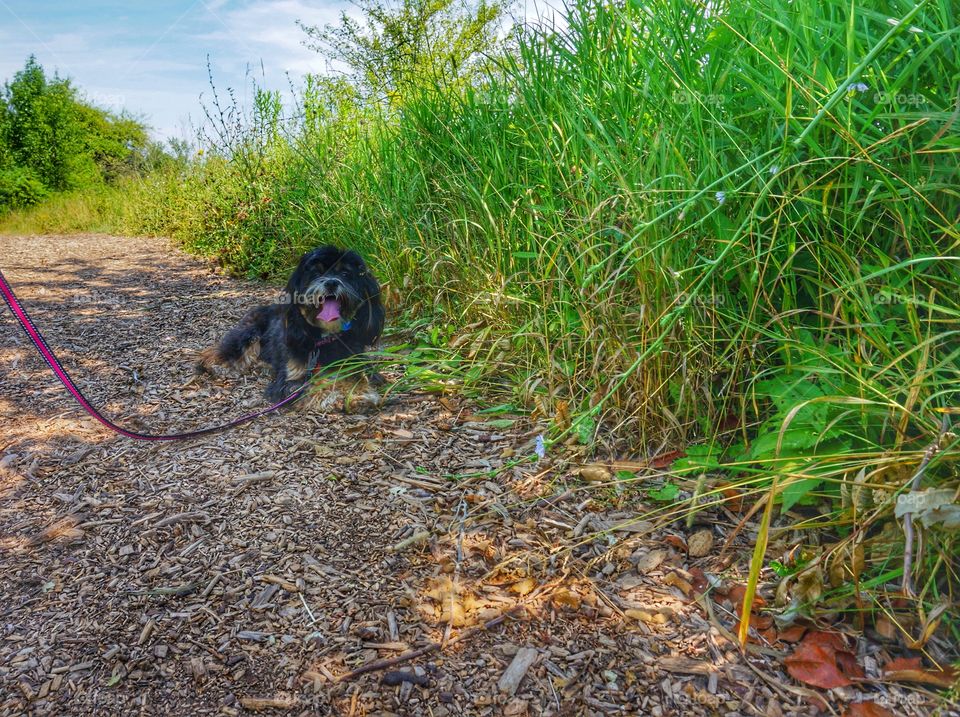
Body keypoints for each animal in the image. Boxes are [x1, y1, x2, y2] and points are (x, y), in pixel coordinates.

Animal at [197, 245, 384, 402]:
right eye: (317, 274)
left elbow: (359, 378)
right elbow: (316, 385)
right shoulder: (292, 378)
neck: (324, 338)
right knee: (222, 352)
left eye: (345, 274)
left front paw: (360, 393)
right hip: (250, 333)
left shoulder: (355, 362)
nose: (331, 282)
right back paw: (217, 366)